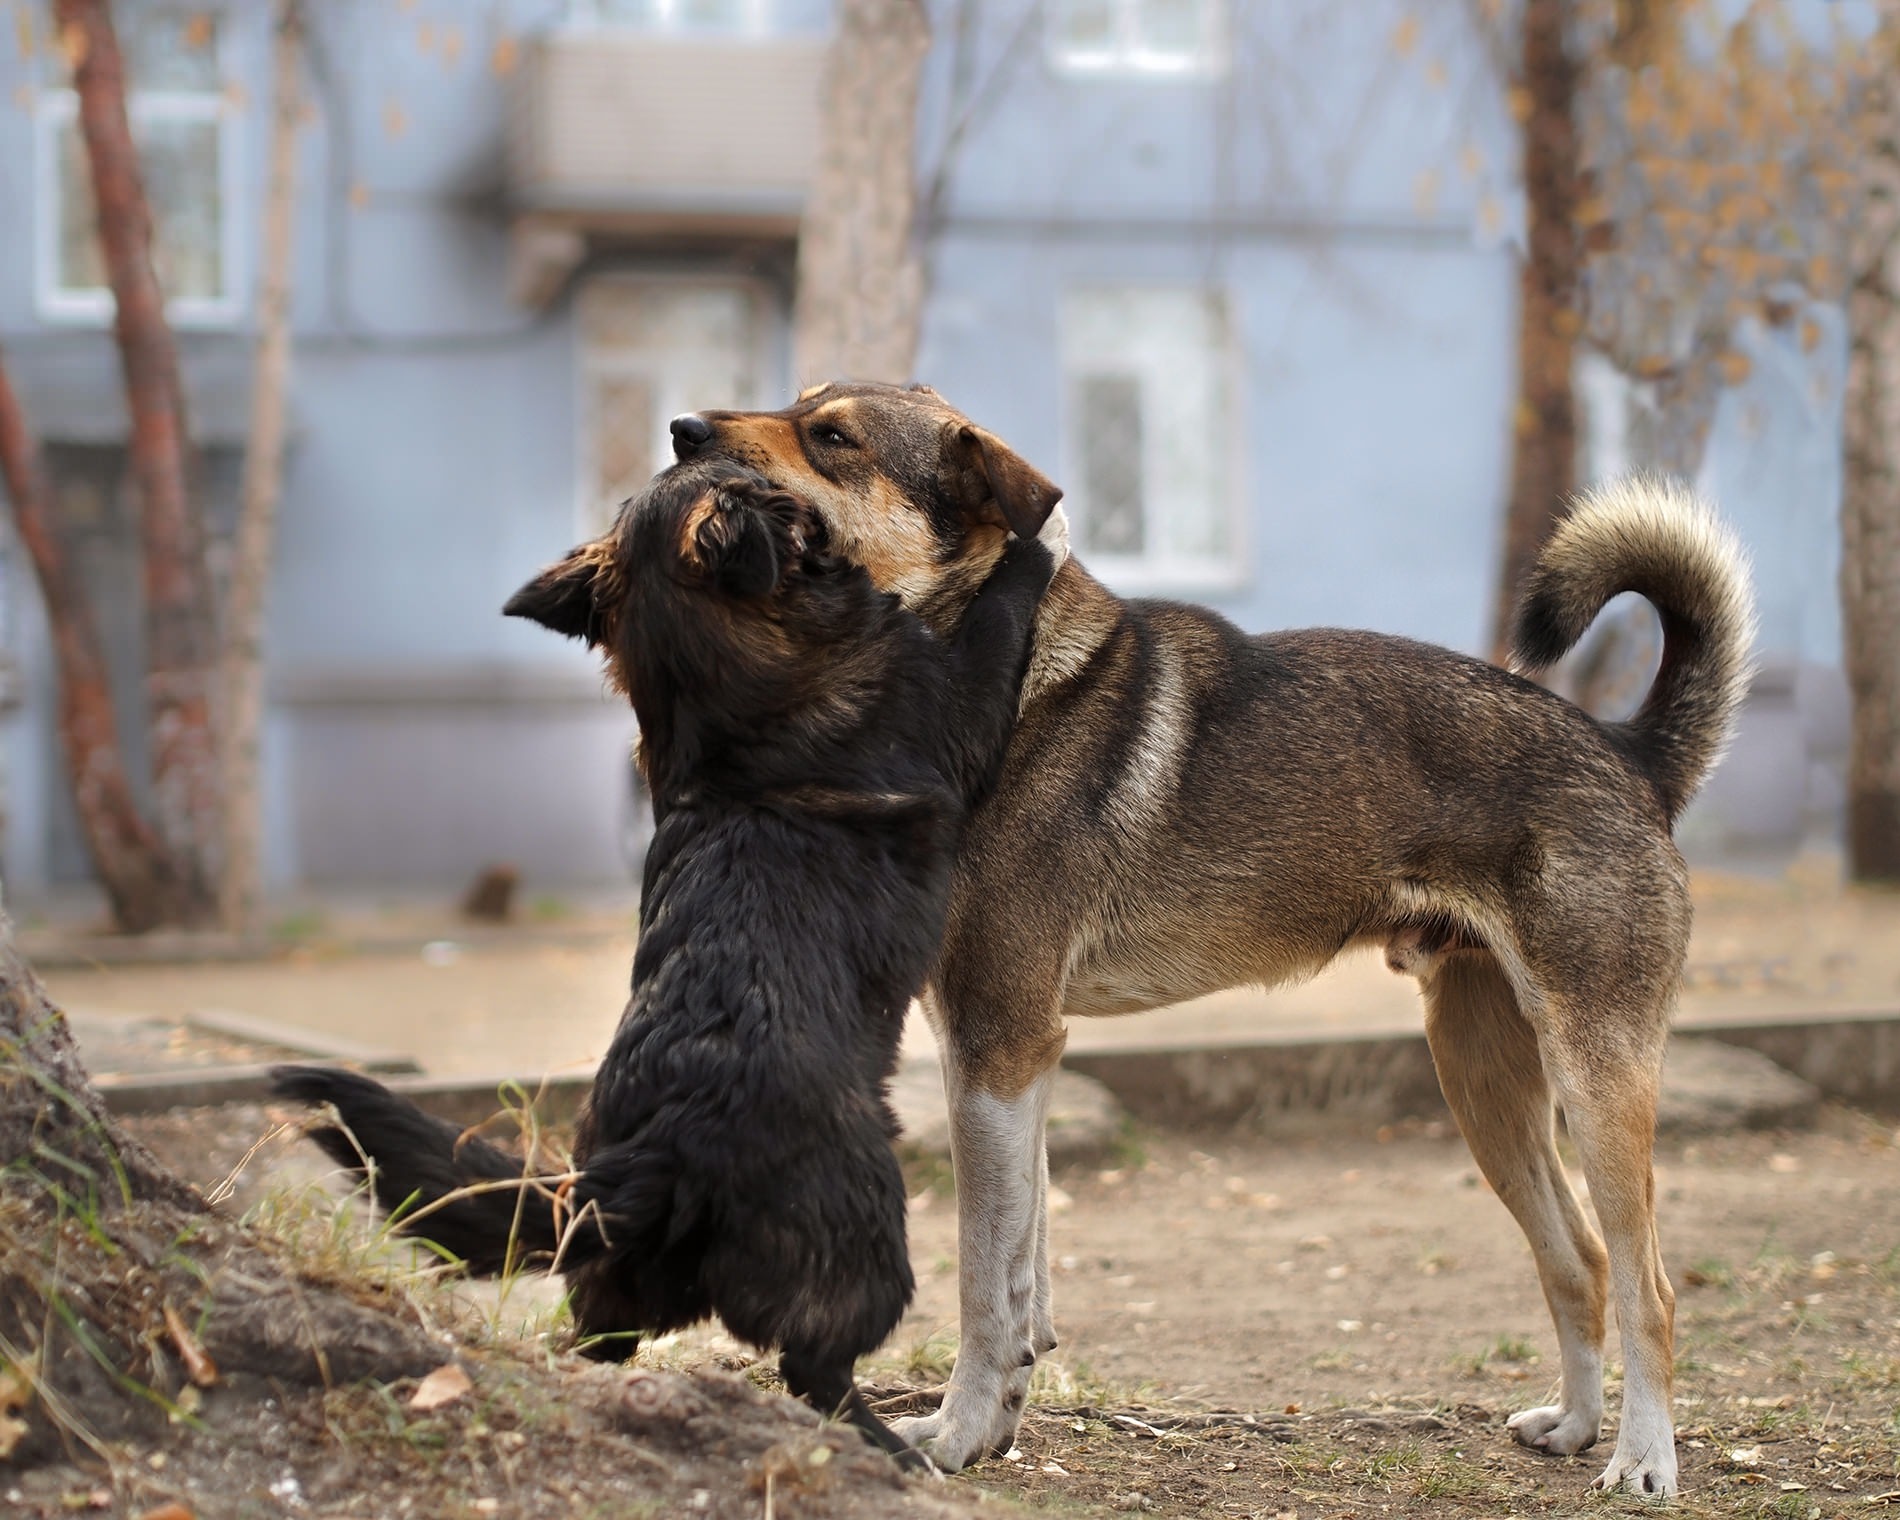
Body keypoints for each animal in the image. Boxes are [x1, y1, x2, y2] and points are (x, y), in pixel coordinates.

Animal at [273, 457, 1056, 1466]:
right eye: (754, 486)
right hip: (868, 1239)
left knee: (594, 1345)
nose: (693, 435)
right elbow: (999, 616)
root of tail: (660, 1150)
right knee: (816, 1371)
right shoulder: (955, 702)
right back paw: (889, 1446)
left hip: (611, 1281)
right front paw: (1037, 546)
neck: (725, 700)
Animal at [665, 383, 1748, 1497]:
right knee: (1578, 1258)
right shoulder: (1006, 1062)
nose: (683, 434)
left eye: (831, 436)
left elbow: (981, 1285)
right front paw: (998, 1415)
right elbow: (1025, 1273)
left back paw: (1643, 1459)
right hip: (1484, 1082)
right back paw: (1575, 1424)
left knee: (1651, 1285)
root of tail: (1629, 753)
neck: (996, 678)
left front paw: (960, 1436)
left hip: (1593, 1077)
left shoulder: (998, 1046)